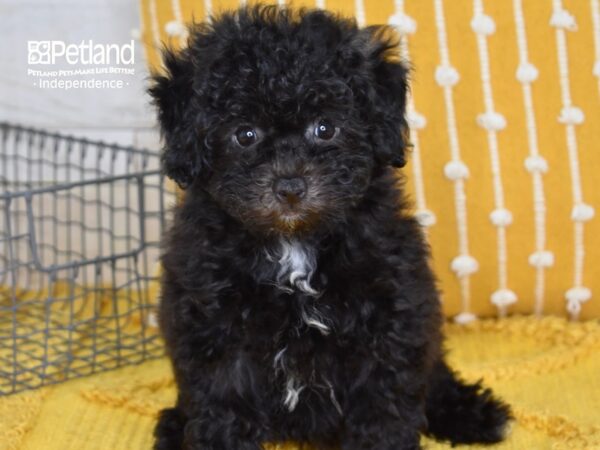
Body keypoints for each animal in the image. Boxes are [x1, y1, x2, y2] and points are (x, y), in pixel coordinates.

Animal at [150, 4, 510, 450]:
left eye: (325, 128)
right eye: (244, 134)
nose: (290, 186)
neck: (294, 243)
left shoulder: (390, 318)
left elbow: (383, 407)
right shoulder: (216, 328)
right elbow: (224, 405)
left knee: (436, 376)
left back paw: (469, 413)